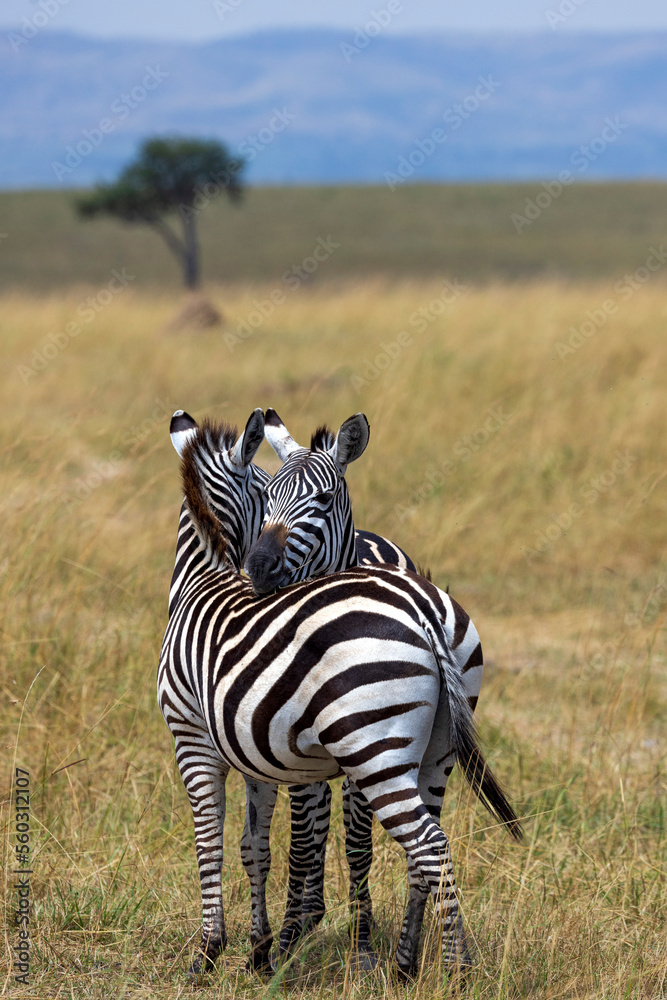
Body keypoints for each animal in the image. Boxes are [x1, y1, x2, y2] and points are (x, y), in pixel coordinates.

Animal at [158, 408, 522, 979]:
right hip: (432, 750)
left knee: (423, 845)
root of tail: (421, 606)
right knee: (419, 847)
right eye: (267, 494)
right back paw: (401, 961)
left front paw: (209, 951)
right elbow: (256, 845)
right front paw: (261, 949)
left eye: (324, 499)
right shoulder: (253, 753)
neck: (203, 582)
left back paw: (453, 968)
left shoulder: (192, 738)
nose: (260, 569)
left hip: (373, 750)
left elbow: (210, 840)